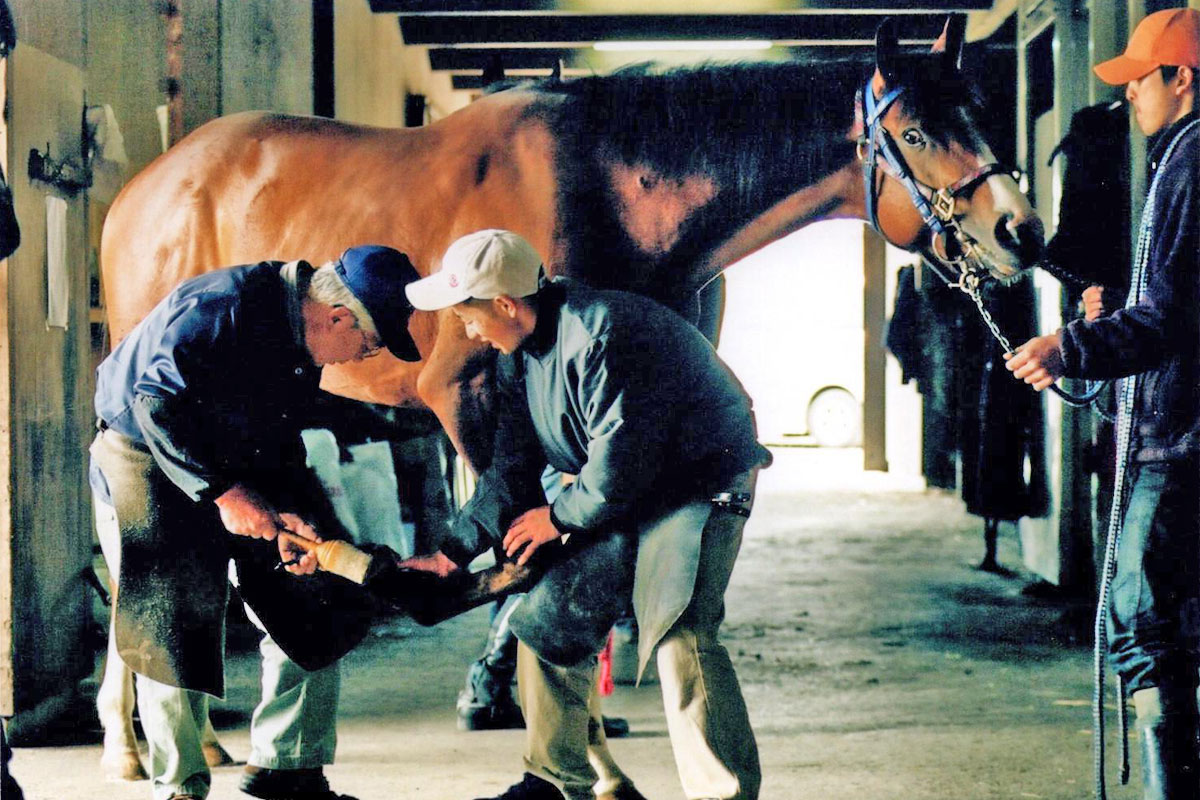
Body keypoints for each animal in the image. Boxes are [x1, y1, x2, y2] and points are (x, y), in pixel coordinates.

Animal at [95, 15, 1043, 776]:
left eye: (981, 115)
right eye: (916, 132)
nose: (1022, 232)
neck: (614, 189)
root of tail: (145, 188)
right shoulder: (474, 398)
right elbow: (525, 566)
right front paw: (559, 732)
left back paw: (200, 737)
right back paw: (132, 743)